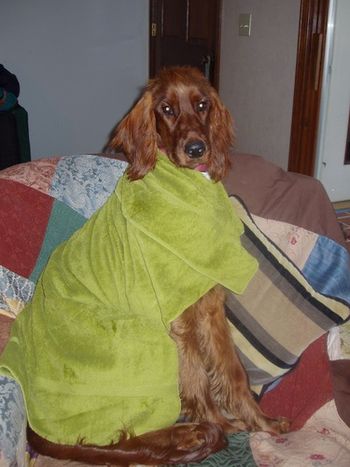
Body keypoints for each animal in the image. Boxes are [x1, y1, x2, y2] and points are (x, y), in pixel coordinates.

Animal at [27, 66, 288, 467]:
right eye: (166, 108)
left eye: (202, 104)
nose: (196, 148)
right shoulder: (177, 321)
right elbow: (197, 379)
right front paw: (220, 425)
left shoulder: (210, 307)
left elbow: (233, 372)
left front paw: (261, 423)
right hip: (138, 339)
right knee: (119, 439)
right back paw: (189, 434)